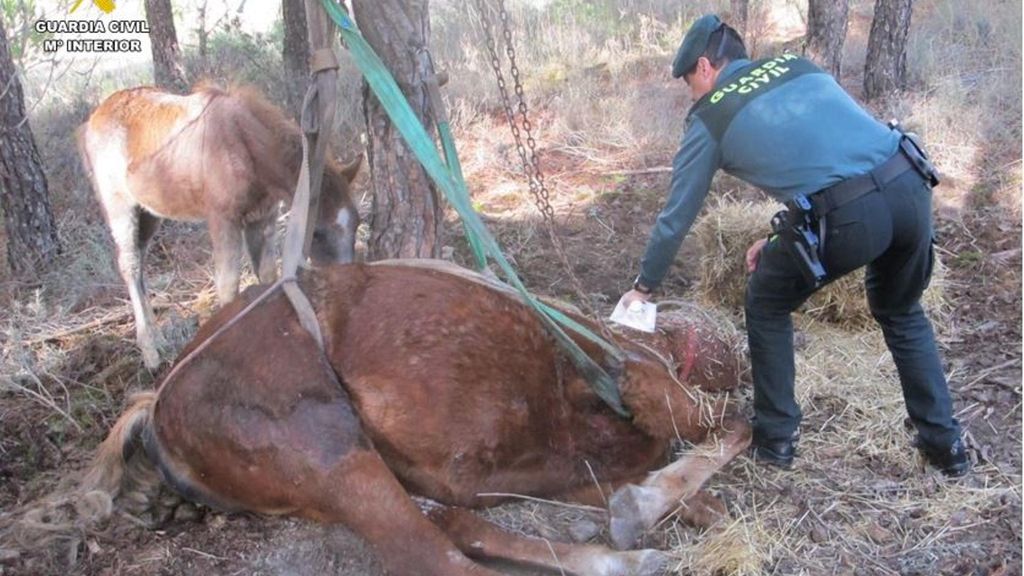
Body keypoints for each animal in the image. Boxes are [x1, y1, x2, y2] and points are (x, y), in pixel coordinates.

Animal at [75, 84, 358, 366]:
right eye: (317, 233)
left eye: (357, 223)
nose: (348, 281)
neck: (244, 146)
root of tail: (90, 123)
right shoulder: (223, 220)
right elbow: (228, 284)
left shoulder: (262, 218)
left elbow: (267, 274)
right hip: (120, 209)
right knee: (130, 265)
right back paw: (150, 353)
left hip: (148, 213)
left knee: (141, 262)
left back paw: (159, 340)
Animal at [77, 260, 753, 573]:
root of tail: (158, 403)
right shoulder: (660, 397)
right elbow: (735, 427)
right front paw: (645, 506)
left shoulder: (564, 470)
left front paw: (652, 510)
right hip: (336, 457)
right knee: (440, 559)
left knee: (456, 528)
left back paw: (626, 559)